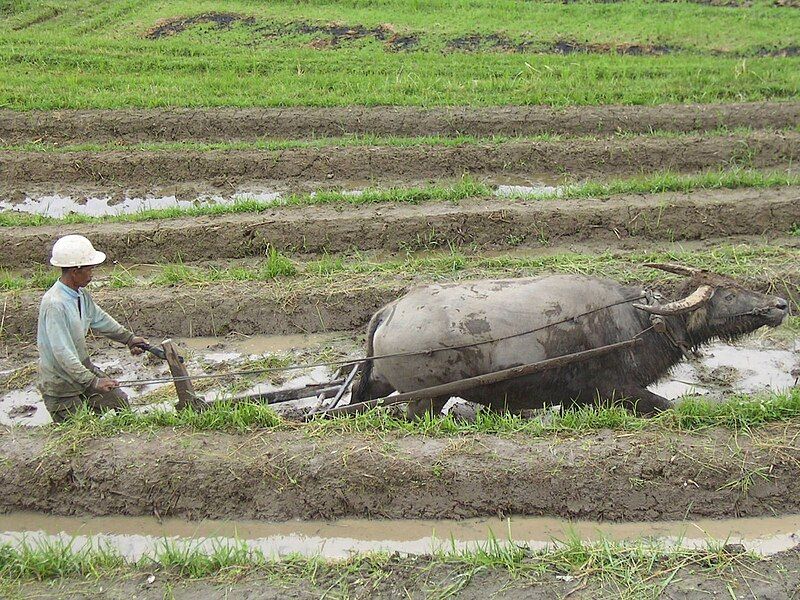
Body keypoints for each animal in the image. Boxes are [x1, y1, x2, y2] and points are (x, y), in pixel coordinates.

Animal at [350, 264, 788, 420]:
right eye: (727, 294)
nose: (782, 304)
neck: (639, 323)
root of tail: (390, 310)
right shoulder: (617, 390)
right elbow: (668, 407)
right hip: (424, 398)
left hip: (382, 382)